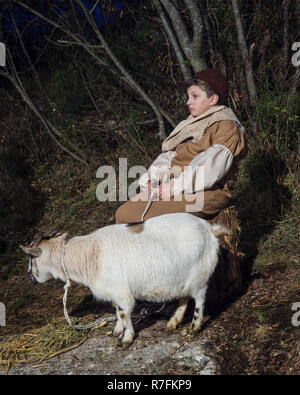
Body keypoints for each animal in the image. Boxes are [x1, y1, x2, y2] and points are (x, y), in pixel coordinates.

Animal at [19, 213, 229, 350]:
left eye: (31, 258)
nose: (30, 276)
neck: (89, 254)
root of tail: (210, 228)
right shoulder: (114, 290)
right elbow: (116, 309)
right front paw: (117, 330)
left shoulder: (122, 291)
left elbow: (123, 311)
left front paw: (125, 338)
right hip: (181, 278)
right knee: (184, 297)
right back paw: (173, 322)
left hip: (199, 275)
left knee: (199, 298)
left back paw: (194, 326)